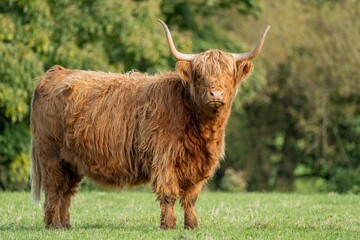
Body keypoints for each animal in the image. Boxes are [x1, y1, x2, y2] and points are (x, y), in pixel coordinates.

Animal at [29, 19, 268, 229]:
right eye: (199, 75)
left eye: (229, 74)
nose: (216, 94)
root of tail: (55, 73)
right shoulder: (164, 158)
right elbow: (169, 194)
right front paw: (168, 226)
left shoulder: (199, 164)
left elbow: (190, 198)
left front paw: (192, 225)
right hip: (51, 154)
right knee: (55, 189)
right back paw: (53, 225)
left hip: (71, 160)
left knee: (67, 191)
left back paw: (65, 224)